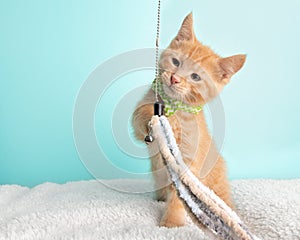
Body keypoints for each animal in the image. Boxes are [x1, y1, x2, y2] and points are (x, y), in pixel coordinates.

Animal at [132, 13, 245, 229]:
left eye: (195, 77)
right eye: (176, 62)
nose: (175, 79)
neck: (175, 106)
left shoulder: (188, 160)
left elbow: (180, 195)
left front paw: (172, 222)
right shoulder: (139, 118)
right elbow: (141, 117)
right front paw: (157, 118)